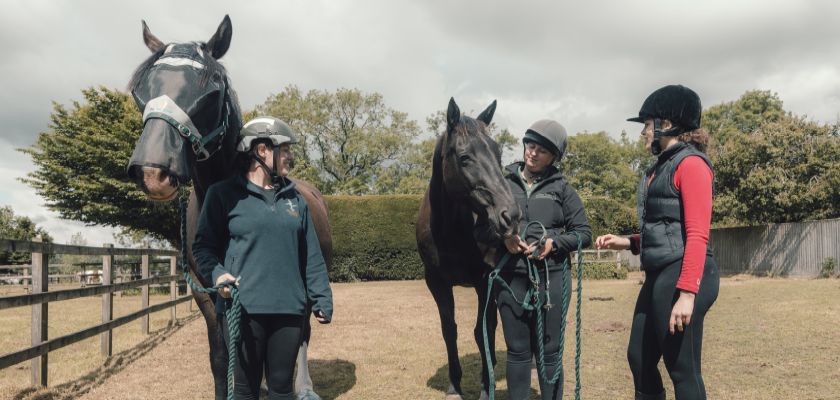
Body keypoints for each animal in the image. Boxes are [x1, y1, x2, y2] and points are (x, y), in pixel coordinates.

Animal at [126, 14, 334, 396]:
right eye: (141, 92)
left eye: (211, 92)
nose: (152, 172)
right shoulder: (208, 289)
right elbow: (222, 357)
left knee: (302, 337)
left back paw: (304, 386)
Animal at [416, 97, 520, 400]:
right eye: (464, 158)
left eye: (498, 153)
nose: (510, 215)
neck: (452, 232)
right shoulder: (436, 282)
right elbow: (449, 330)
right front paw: (455, 387)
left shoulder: (485, 280)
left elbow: (481, 330)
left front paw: (486, 387)